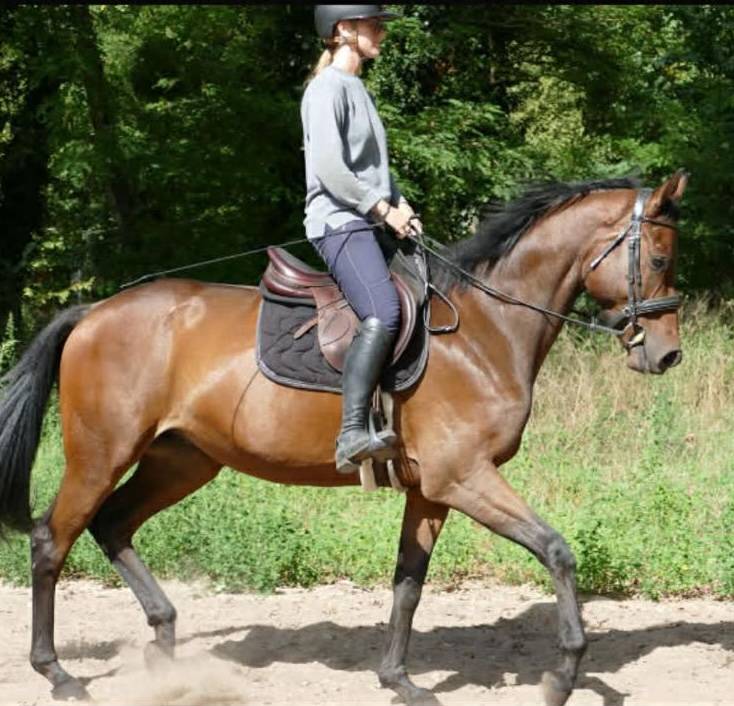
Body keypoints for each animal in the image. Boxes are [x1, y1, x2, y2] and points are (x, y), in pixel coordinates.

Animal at [0, 171, 687, 706]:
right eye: (658, 259)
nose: (667, 354)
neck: (485, 329)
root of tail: (92, 313)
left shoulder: (432, 489)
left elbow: (408, 582)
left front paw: (399, 680)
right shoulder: (465, 477)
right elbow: (556, 551)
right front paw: (565, 673)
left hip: (182, 462)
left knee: (113, 524)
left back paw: (165, 648)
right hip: (102, 454)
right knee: (52, 541)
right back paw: (58, 673)